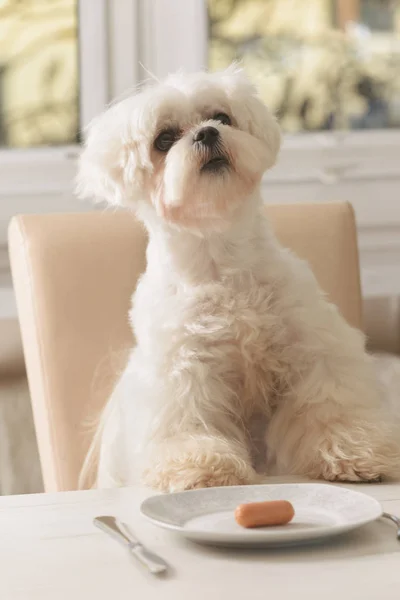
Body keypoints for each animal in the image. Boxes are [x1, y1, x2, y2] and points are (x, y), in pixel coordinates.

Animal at [76, 65, 398, 490]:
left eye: (221, 117)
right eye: (164, 139)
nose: (207, 133)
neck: (222, 262)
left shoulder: (314, 345)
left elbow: (331, 405)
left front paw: (352, 452)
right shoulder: (183, 371)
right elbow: (187, 422)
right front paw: (201, 467)